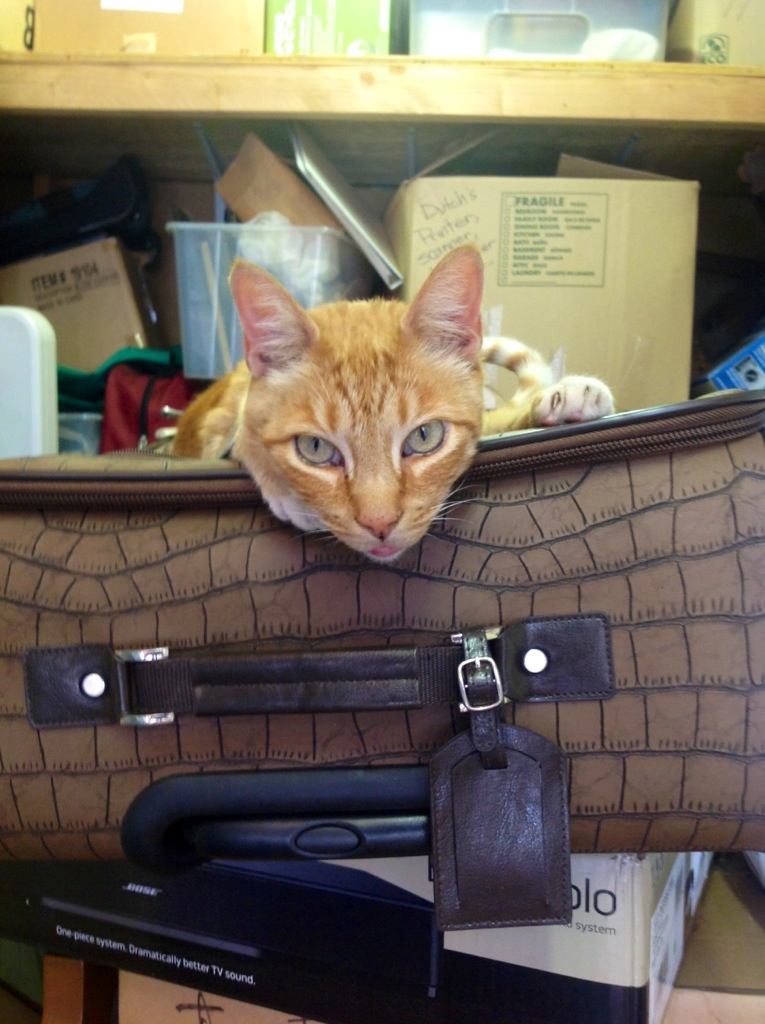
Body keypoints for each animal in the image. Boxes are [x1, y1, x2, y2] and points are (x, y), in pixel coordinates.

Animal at [171, 244, 614, 561]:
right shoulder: (229, 409)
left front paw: (563, 396)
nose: (379, 524)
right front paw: (286, 490)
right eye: (315, 448)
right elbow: (245, 427)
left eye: (424, 436)